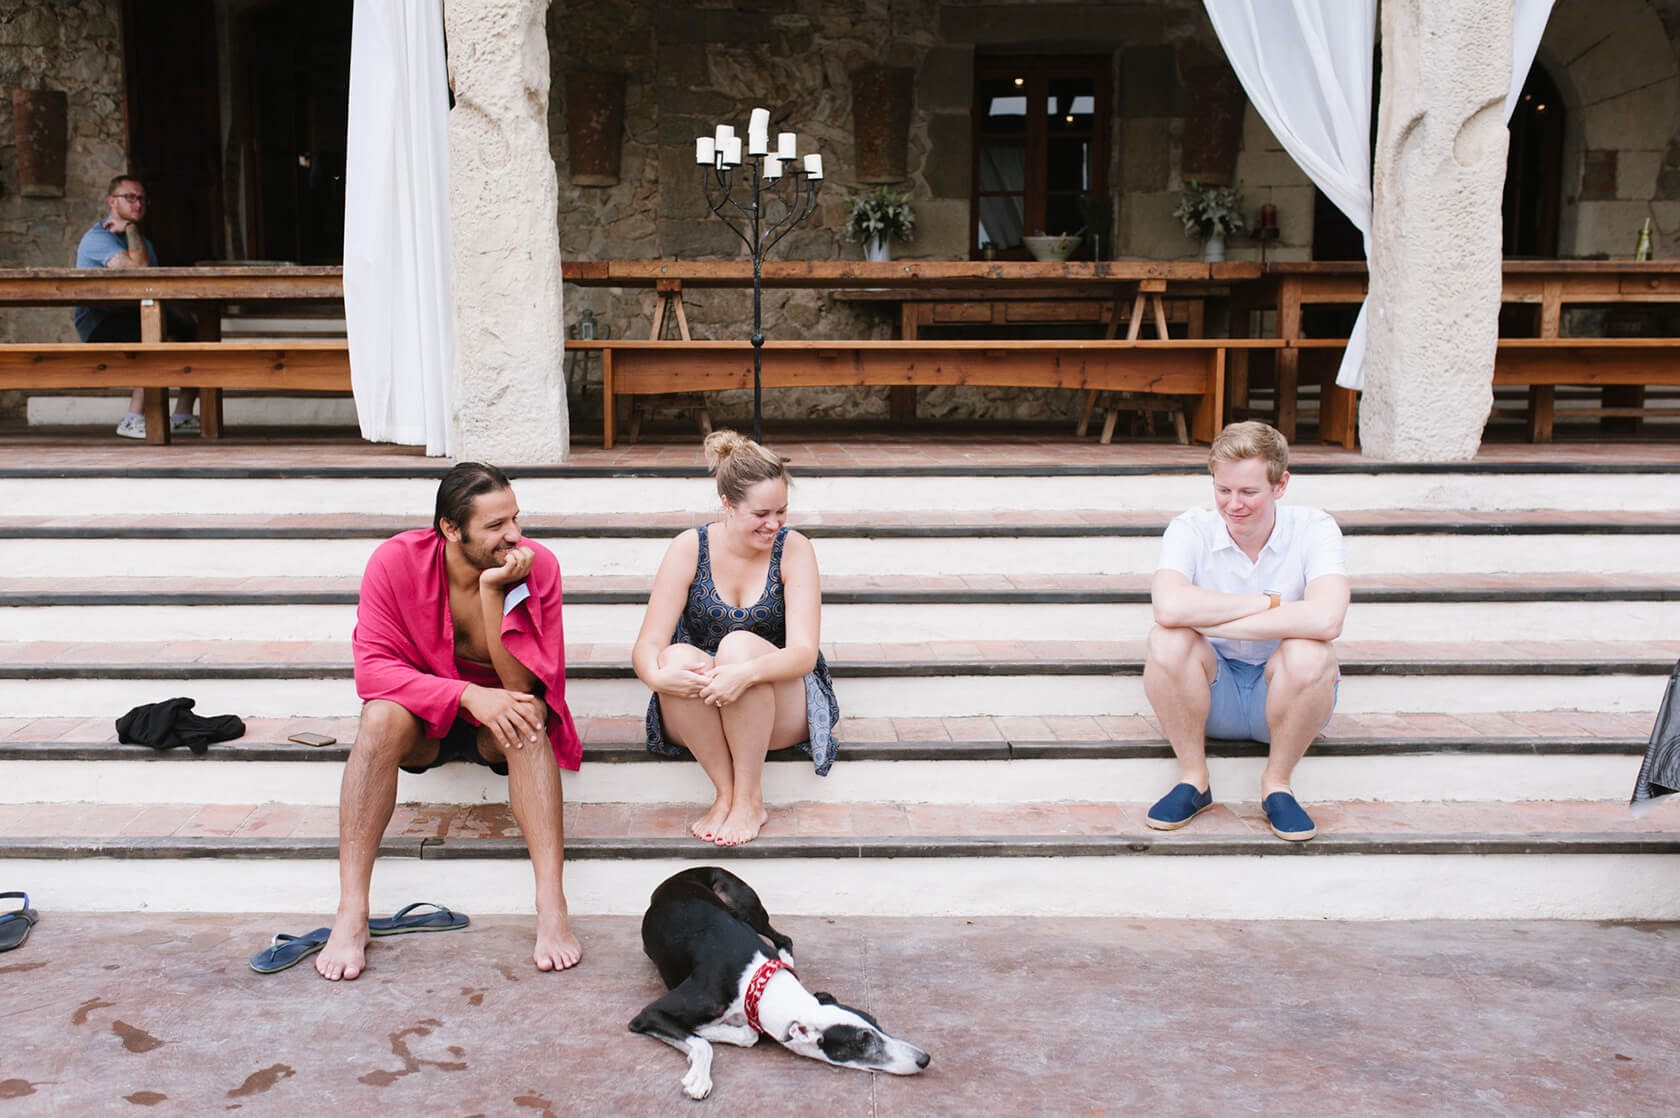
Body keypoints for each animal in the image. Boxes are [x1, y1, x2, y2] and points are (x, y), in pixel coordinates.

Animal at [628, 867, 927, 1096]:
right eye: (862, 1042)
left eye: (878, 1023)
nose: (924, 1058)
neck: (759, 984)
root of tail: (678, 875)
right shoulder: (649, 1014)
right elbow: (705, 1041)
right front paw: (699, 1077)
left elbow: (744, 1034)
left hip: (745, 907)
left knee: (783, 937)